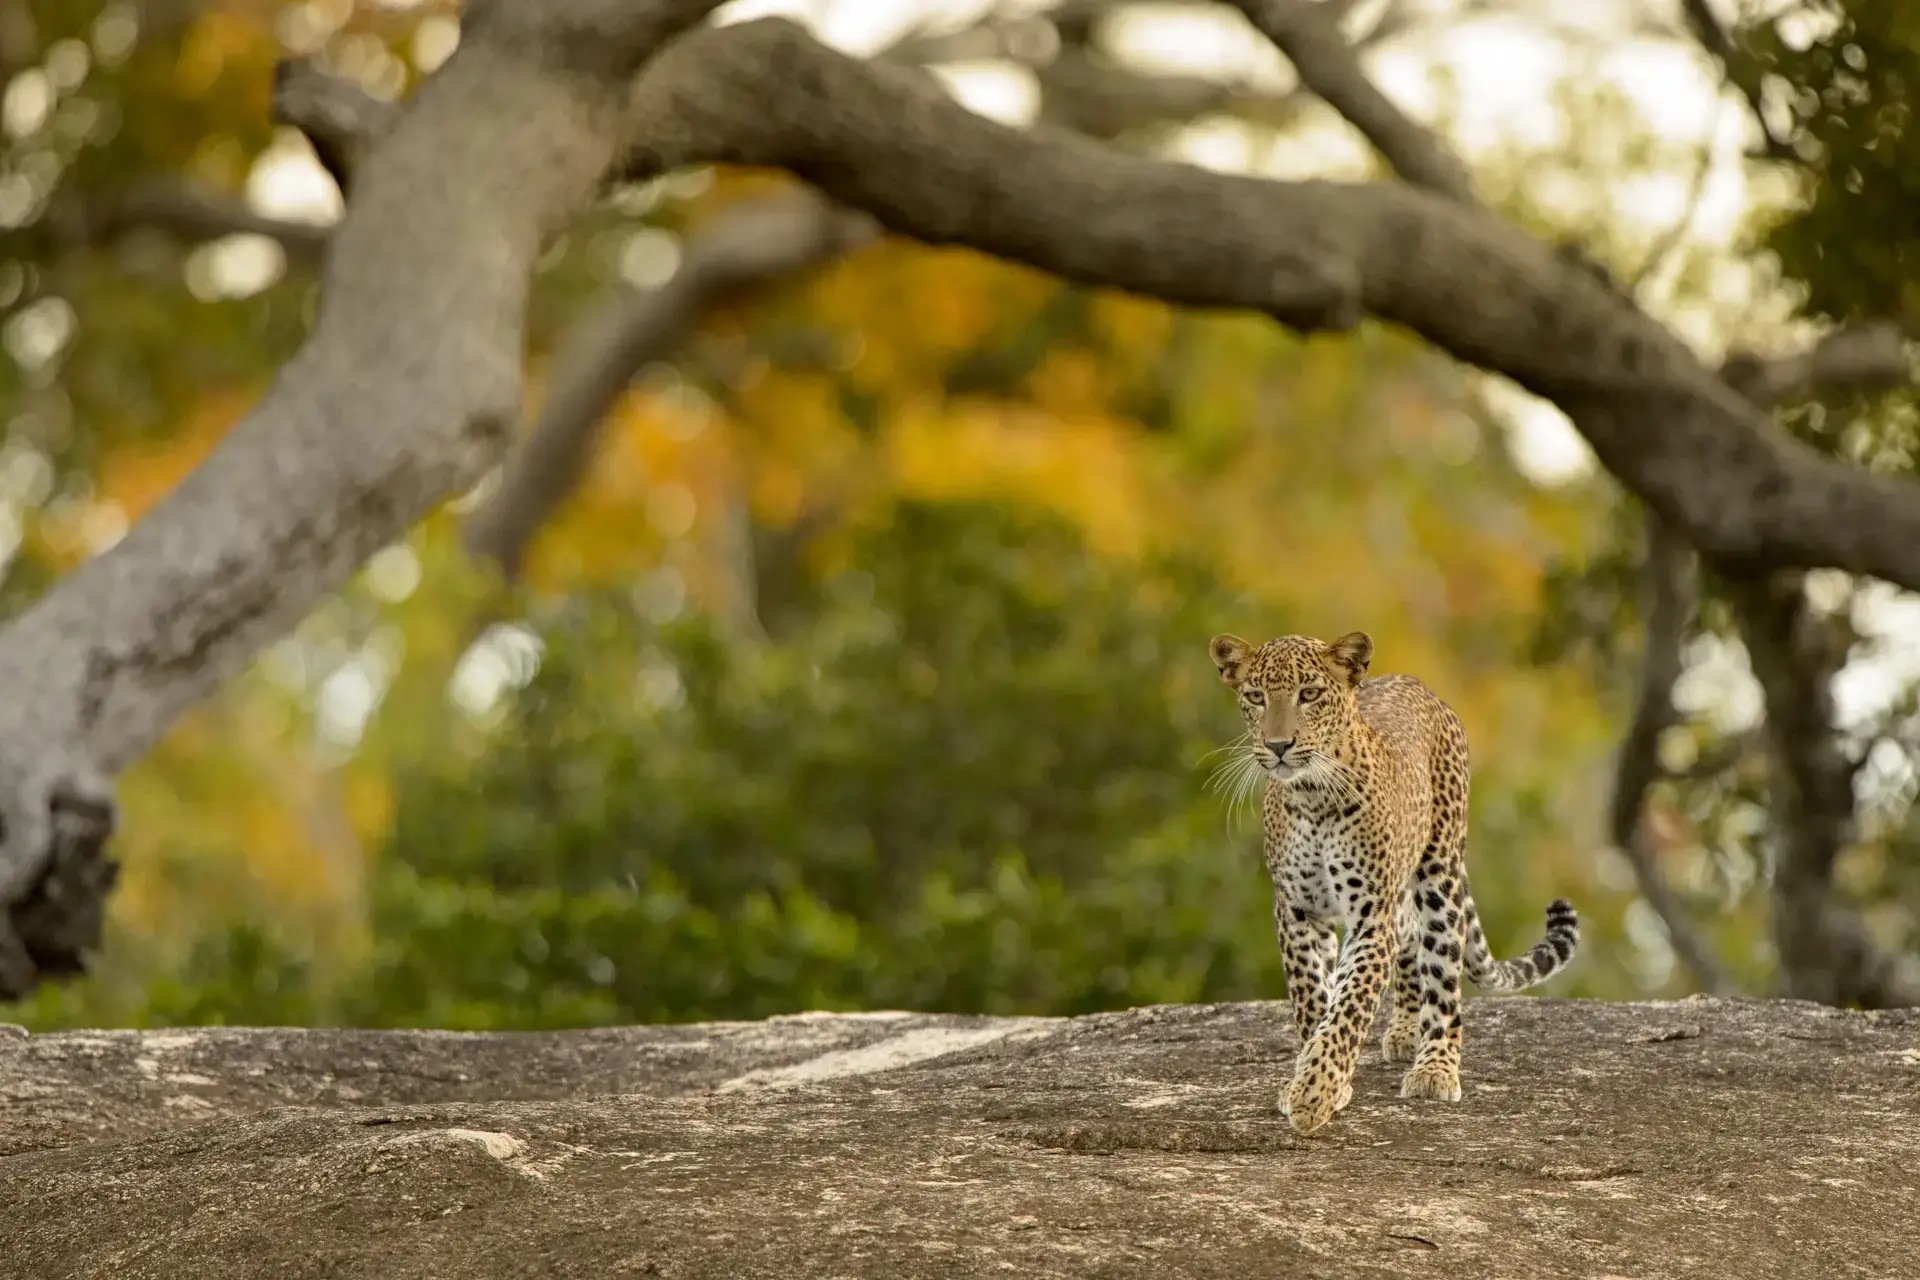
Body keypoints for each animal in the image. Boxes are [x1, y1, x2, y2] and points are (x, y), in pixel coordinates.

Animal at [1208, 628, 1580, 1134]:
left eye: (1309, 695)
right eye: (1255, 697)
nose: (1279, 744)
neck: (1311, 798)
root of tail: (1415, 683)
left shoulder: (1369, 913)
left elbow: (1349, 1006)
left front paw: (1314, 1092)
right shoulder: (1297, 911)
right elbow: (1312, 999)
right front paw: (1316, 1081)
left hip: (1440, 872)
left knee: (1442, 976)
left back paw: (1434, 1066)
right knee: (1408, 938)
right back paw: (1405, 1030)